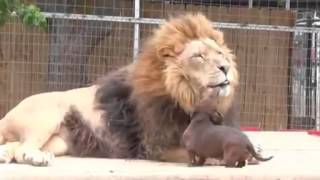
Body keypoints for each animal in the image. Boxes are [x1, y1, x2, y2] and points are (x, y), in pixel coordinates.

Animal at [0, 13, 240, 167]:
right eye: (198, 56)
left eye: (220, 53)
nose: (225, 67)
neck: (187, 97)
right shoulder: (155, 147)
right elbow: (207, 153)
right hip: (46, 117)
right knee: (22, 149)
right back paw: (36, 159)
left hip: (58, 142)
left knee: (15, 146)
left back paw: (7, 155)